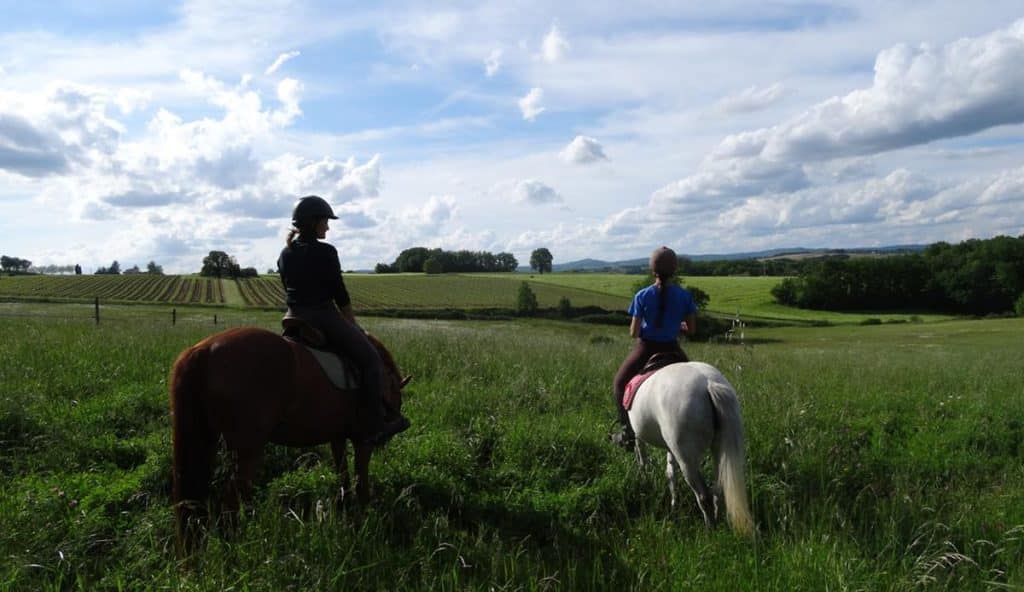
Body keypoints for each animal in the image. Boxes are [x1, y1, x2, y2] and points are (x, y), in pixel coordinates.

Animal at [167, 325, 407, 544]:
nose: (387, 435)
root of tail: (204, 350)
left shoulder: (337, 436)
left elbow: (343, 473)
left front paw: (345, 505)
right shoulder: (363, 439)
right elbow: (361, 480)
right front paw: (365, 515)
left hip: (206, 443)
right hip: (246, 452)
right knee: (229, 507)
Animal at [622, 360, 753, 532]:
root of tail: (709, 384)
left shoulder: (639, 437)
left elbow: (643, 461)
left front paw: (645, 482)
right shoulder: (671, 448)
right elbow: (670, 474)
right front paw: (673, 505)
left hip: (687, 460)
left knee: (704, 496)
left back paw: (710, 529)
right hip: (717, 451)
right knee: (718, 489)